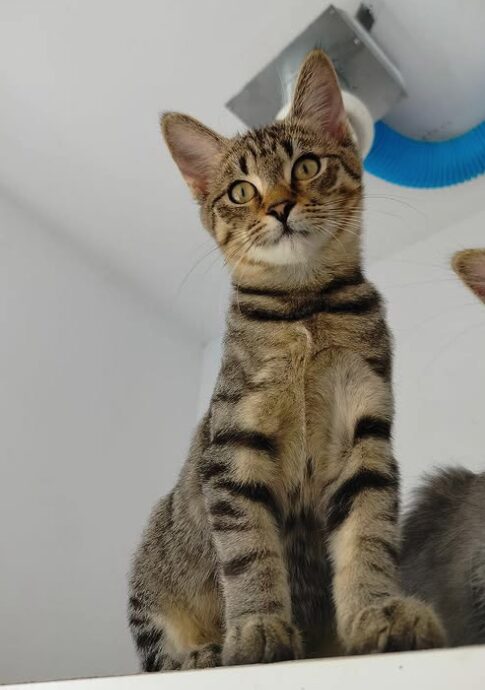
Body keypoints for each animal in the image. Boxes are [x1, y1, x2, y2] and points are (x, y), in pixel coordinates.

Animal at [127, 47, 442, 668]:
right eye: (241, 191)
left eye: (306, 166)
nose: (279, 207)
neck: (305, 310)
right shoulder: (232, 448)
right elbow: (249, 552)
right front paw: (257, 628)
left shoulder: (366, 436)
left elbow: (368, 534)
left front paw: (377, 612)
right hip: (150, 569)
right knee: (156, 655)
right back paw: (202, 654)